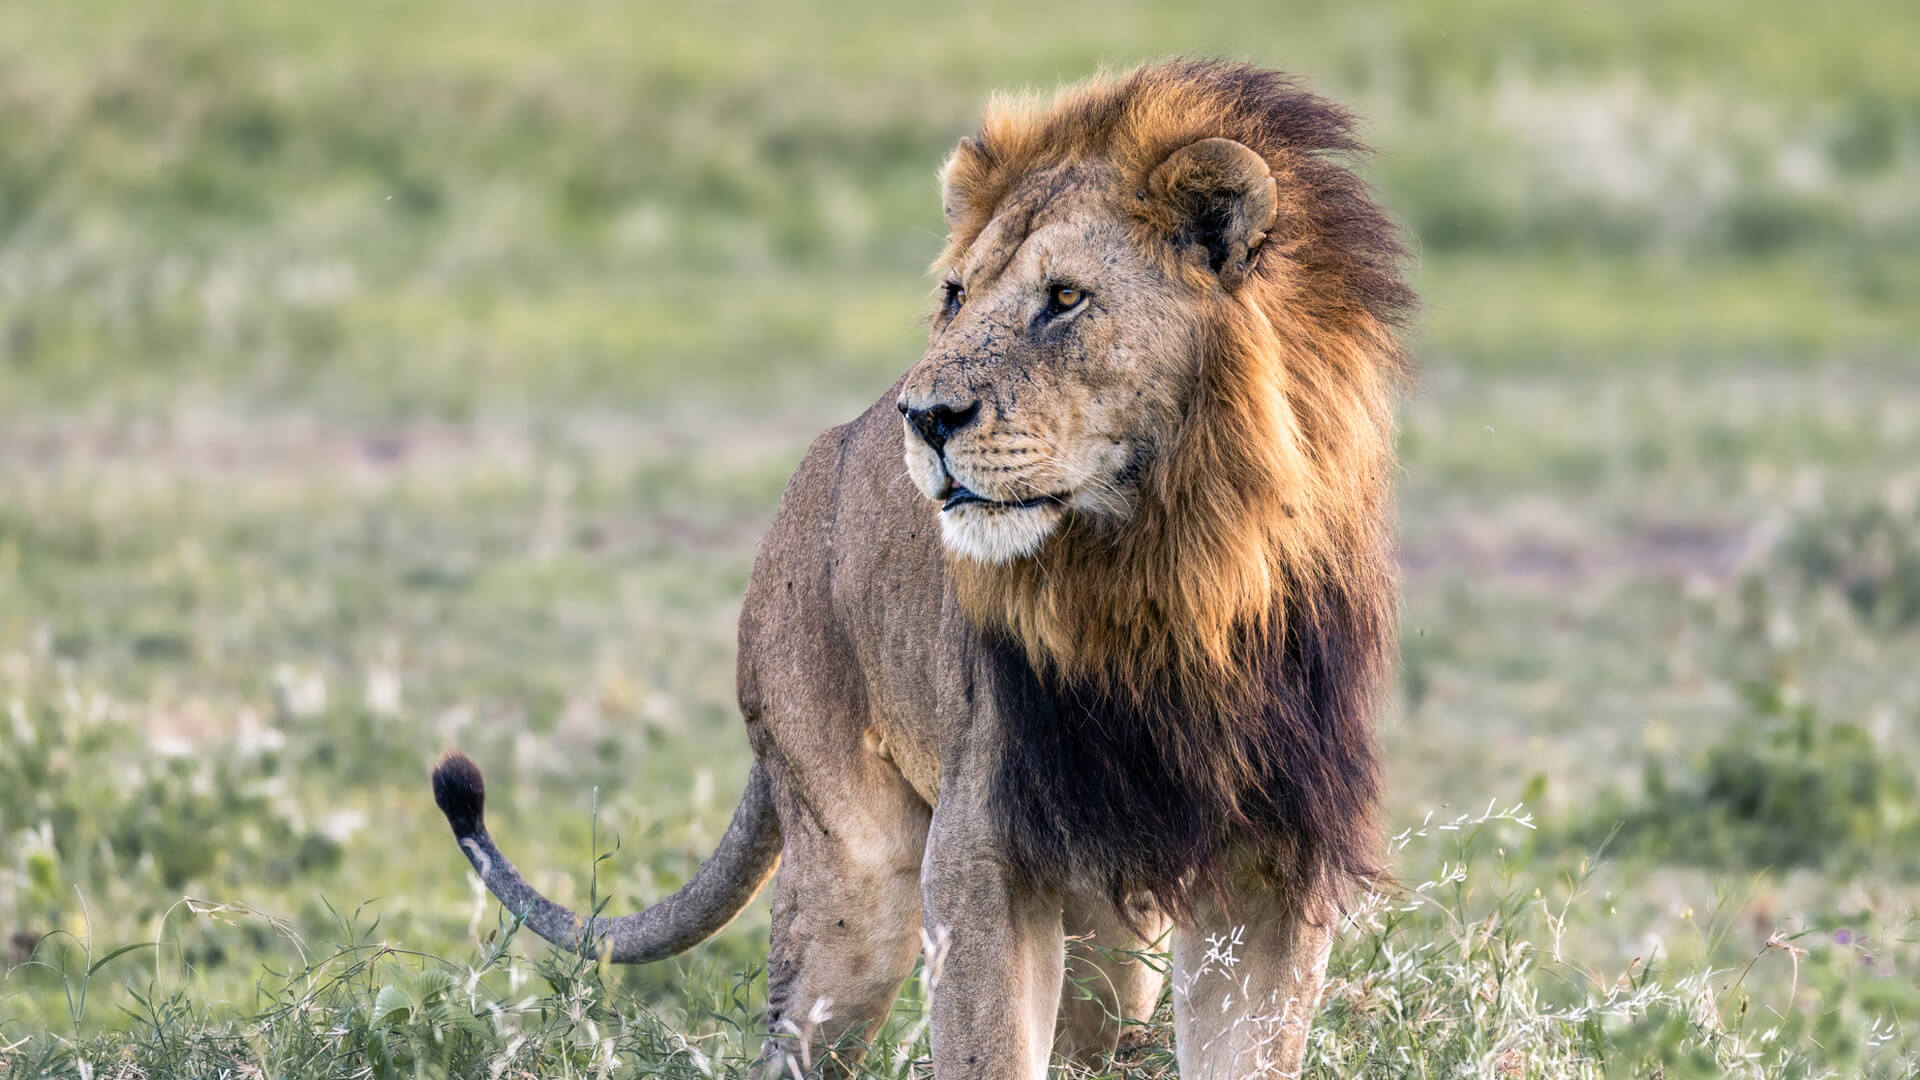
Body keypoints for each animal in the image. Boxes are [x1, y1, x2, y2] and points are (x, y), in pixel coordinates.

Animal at [431, 58, 1413, 1077]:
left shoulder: (1275, 865)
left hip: (1110, 940)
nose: (927, 416)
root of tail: (821, 459)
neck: (1162, 571)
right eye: (954, 297)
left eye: (1065, 299)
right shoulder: (982, 853)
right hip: (853, 891)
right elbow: (988, 1049)